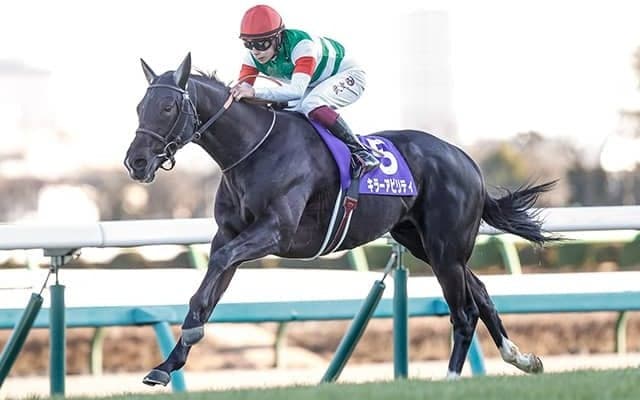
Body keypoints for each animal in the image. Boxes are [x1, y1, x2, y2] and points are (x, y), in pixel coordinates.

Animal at [125, 53, 554, 386]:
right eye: (139, 108)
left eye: (167, 108)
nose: (136, 162)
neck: (253, 150)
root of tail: (467, 160)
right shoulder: (229, 234)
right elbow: (209, 287)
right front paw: (167, 364)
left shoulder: (275, 232)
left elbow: (217, 266)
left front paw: (187, 339)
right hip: (424, 243)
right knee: (480, 293)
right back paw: (521, 358)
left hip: (446, 248)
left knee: (463, 312)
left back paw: (450, 378)